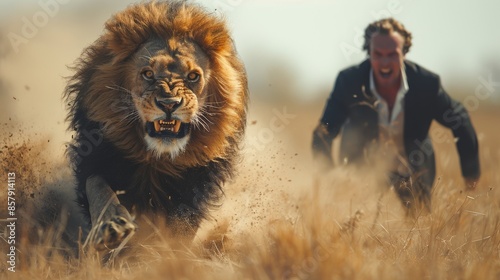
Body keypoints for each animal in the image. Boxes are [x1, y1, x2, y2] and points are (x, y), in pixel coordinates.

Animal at [64, 0, 248, 249]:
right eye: (148, 74)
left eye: (193, 76)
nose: (169, 103)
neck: (158, 159)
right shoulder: (95, 156)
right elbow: (98, 188)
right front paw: (112, 226)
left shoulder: (196, 189)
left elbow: (180, 227)